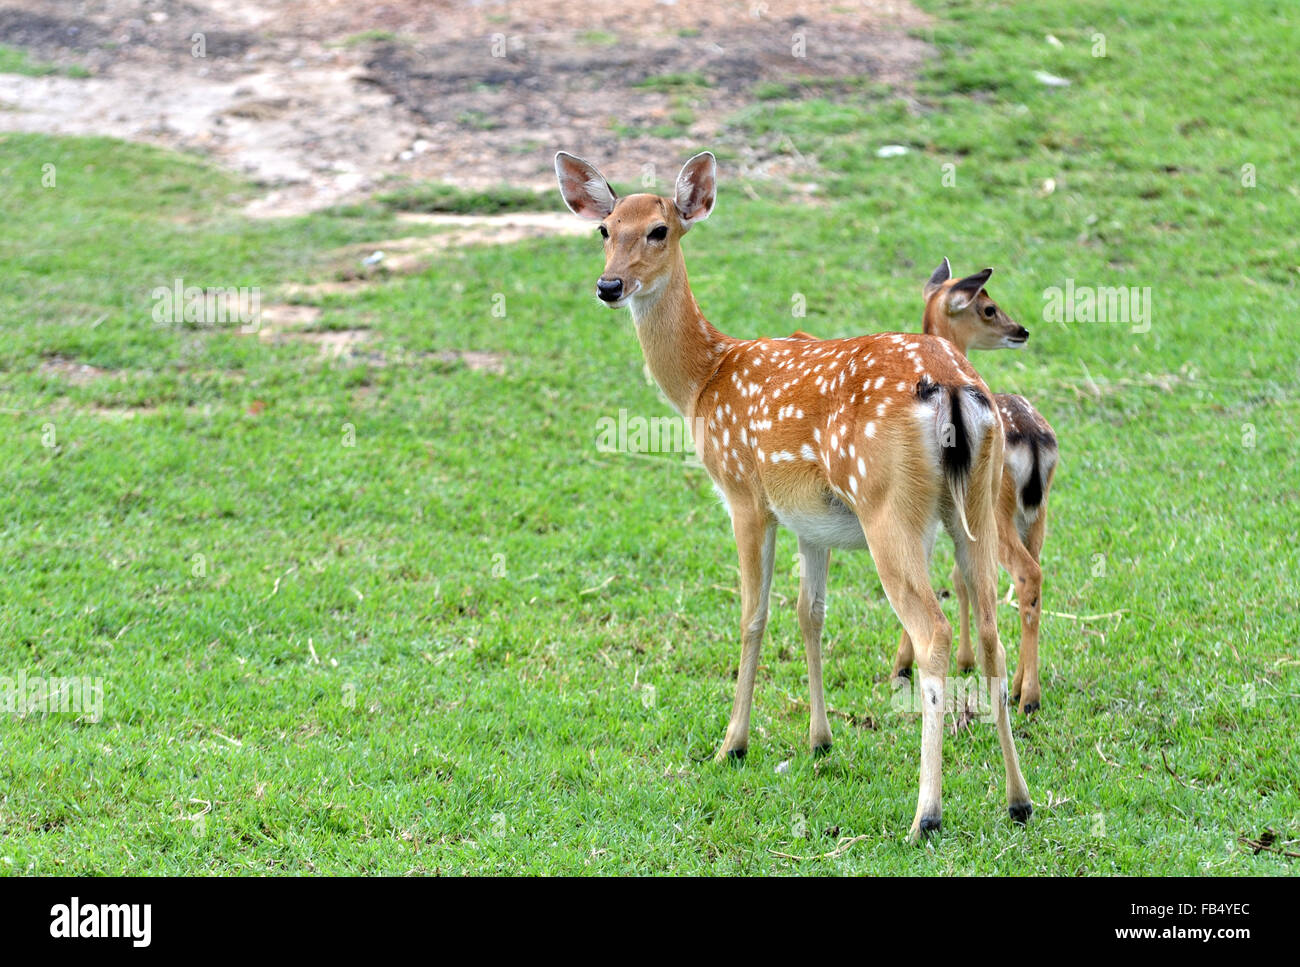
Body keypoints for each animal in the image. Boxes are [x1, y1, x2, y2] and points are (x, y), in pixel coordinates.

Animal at [553, 150, 1029, 837]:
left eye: (659, 230)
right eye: (604, 229)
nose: (609, 286)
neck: (704, 382)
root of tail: (953, 387)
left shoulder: (745, 494)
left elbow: (752, 615)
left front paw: (732, 743)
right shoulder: (813, 521)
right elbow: (811, 614)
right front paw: (819, 739)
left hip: (889, 506)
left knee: (934, 631)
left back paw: (926, 815)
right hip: (975, 505)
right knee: (990, 625)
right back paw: (1019, 801)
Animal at [889, 261, 1060, 712]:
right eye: (989, 308)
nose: (1022, 330)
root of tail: (1034, 441)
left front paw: (904, 666)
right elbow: (960, 577)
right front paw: (966, 661)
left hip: (994, 511)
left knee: (1026, 574)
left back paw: (1029, 696)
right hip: (1036, 515)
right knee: (1033, 577)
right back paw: (1018, 686)